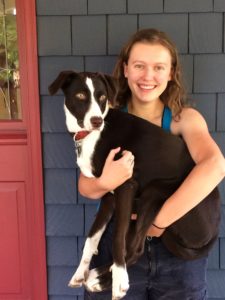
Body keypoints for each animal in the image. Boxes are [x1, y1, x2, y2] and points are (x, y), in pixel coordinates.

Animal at [48, 71, 220, 300]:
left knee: (135, 247)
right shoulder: (108, 193)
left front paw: (119, 280)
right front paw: (79, 272)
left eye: (102, 97)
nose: (97, 121)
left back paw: (103, 279)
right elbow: (91, 237)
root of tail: (216, 228)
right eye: (80, 95)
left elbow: (118, 239)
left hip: (155, 192)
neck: (91, 137)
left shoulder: (126, 185)